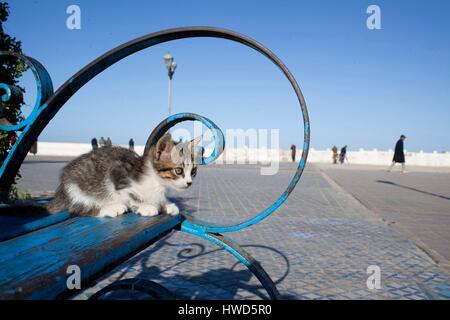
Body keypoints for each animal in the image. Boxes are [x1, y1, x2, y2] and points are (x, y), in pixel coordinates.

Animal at [46, 132, 200, 218]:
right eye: (179, 170)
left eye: (193, 171)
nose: (189, 183)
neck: (156, 182)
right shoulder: (117, 174)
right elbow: (131, 196)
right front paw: (145, 207)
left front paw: (166, 204)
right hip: (75, 187)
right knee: (79, 209)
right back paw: (112, 208)